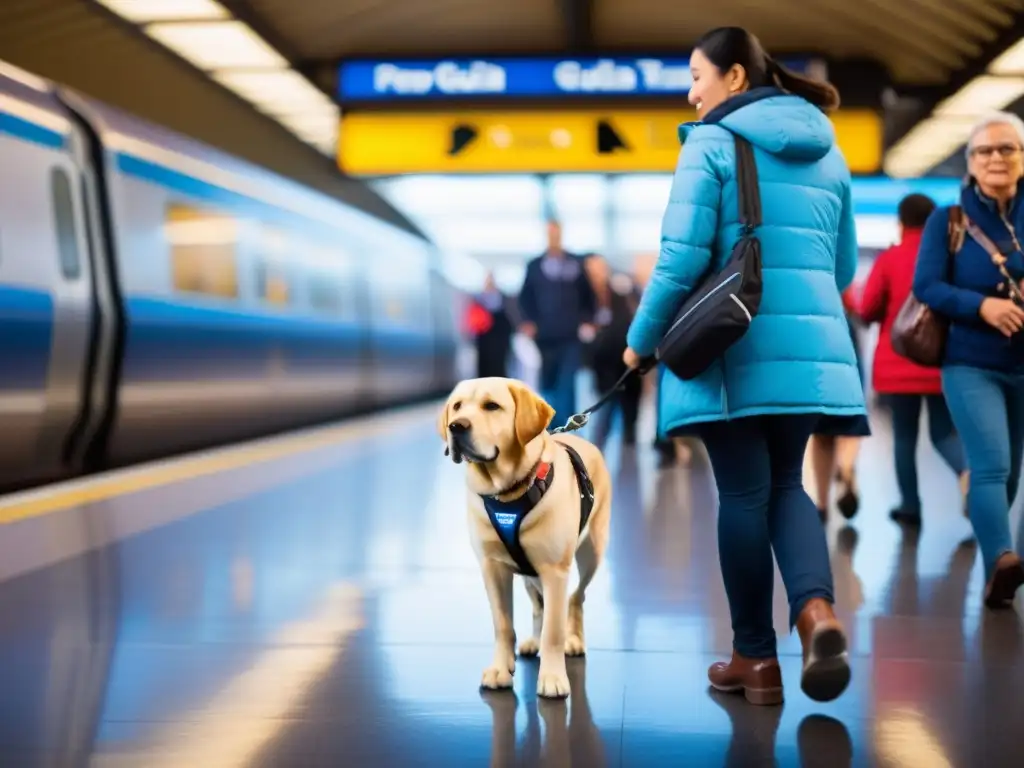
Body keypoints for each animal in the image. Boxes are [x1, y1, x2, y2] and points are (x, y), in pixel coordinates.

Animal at [436, 376, 610, 700]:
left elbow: (554, 629)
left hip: (591, 553)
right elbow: (503, 625)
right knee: (539, 605)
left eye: (492, 406)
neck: (508, 491)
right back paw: (533, 641)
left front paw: (552, 677)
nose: (456, 426)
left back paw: (574, 639)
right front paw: (500, 669)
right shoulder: (492, 568)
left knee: (575, 598)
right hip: (531, 574)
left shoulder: (555, 570)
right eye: (457, 406)